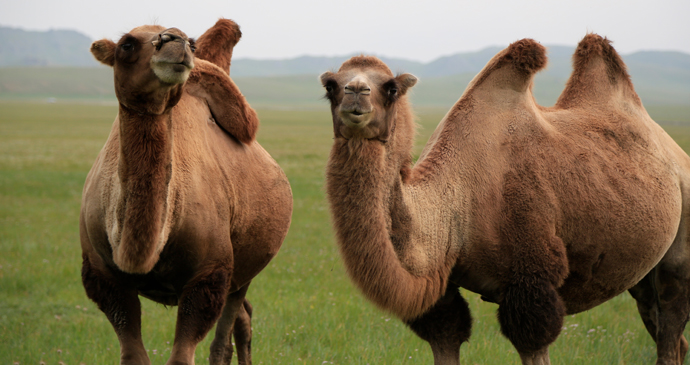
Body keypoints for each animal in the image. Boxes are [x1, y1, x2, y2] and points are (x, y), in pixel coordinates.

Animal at [80, 19, 290, 364]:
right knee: (242, 316)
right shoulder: (103, 278)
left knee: (228, 331)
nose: (175, 40)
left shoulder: (209, 275)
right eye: (126, 44)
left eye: (190, 44)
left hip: (243, 268)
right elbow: (133, 355)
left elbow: (183, 355)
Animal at [320, 32, 688, 362]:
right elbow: (446, 333)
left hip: (679, 244)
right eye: (331, 86)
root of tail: (675, 152)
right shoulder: (442, 292)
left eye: (391, 88)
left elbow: (533, 341)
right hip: (640, 271)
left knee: (671, 325)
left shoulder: (531, 279)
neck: (456, 206)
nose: (356, 93)